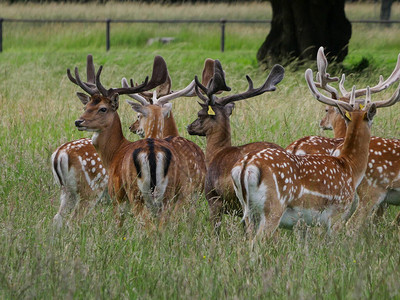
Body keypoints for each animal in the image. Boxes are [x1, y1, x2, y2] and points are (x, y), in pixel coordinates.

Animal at [67, 55, 188, 226]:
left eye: (103, 108)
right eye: (86, 107)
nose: (79, 122)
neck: (115, 153)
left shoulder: (117, 194)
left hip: (137, 192)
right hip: (167, 191)